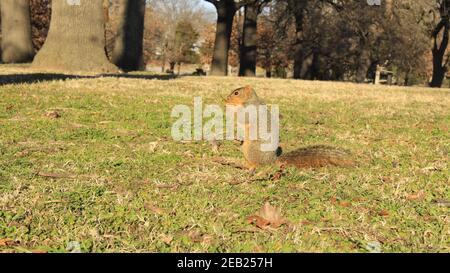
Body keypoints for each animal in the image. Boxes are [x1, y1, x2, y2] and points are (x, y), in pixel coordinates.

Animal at [225, 85, 356, 171]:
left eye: (236, 93)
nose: (226, 99)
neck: (249, 100)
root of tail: (271, 161)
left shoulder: (251, 110)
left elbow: (244, 118)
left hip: (252, 150)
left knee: (256, 165)